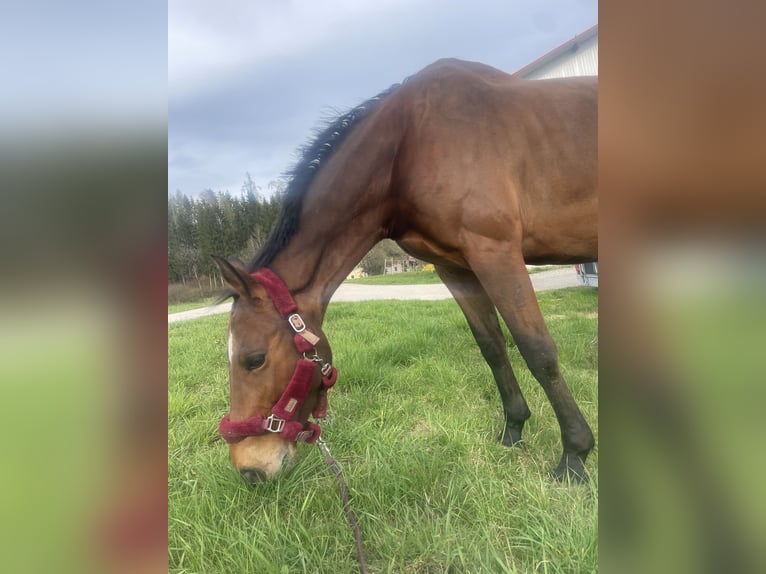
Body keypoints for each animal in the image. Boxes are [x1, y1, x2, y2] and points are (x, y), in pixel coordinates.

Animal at [214, 58, 597, 484]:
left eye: (254, 359)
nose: (249, 469)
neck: (411, 145)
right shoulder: (455, 267)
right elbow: (493, 347)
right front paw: (513, 429)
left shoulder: (496, 253)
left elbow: (538, 350)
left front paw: (575, 454)